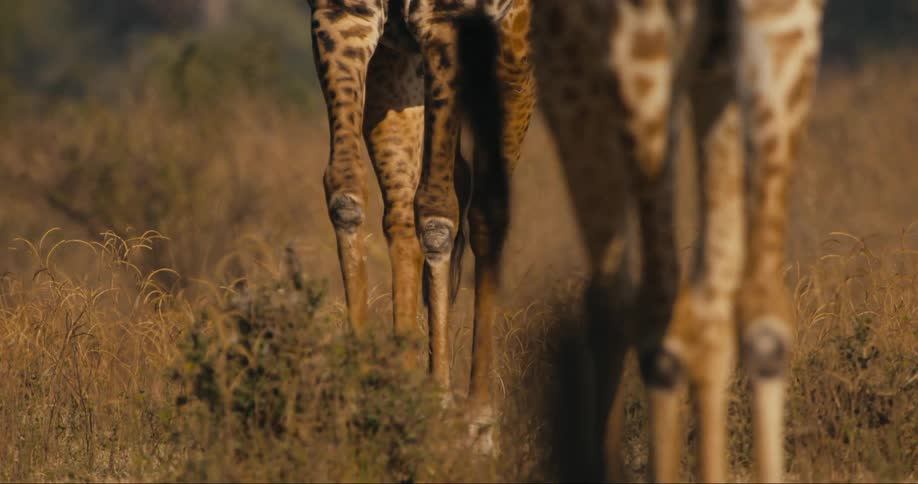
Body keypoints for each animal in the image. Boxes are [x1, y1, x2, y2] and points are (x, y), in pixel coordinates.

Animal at [306, 0, 535, 450]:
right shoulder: (342, 14)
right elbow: (345, 189)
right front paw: (360, 398)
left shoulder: (450, 21)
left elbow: (438, 209)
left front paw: (455, 412)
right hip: (401, 65)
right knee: (409, 206)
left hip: (511, 52)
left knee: (483, 210)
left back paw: (477, 417)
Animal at [459, 0, 824, 481]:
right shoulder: (713, 76)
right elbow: (709, 310)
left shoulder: (567, 71)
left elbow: (608, 302)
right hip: (778, 43)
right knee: (758, 310)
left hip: (642, 59)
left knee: (658, 303)